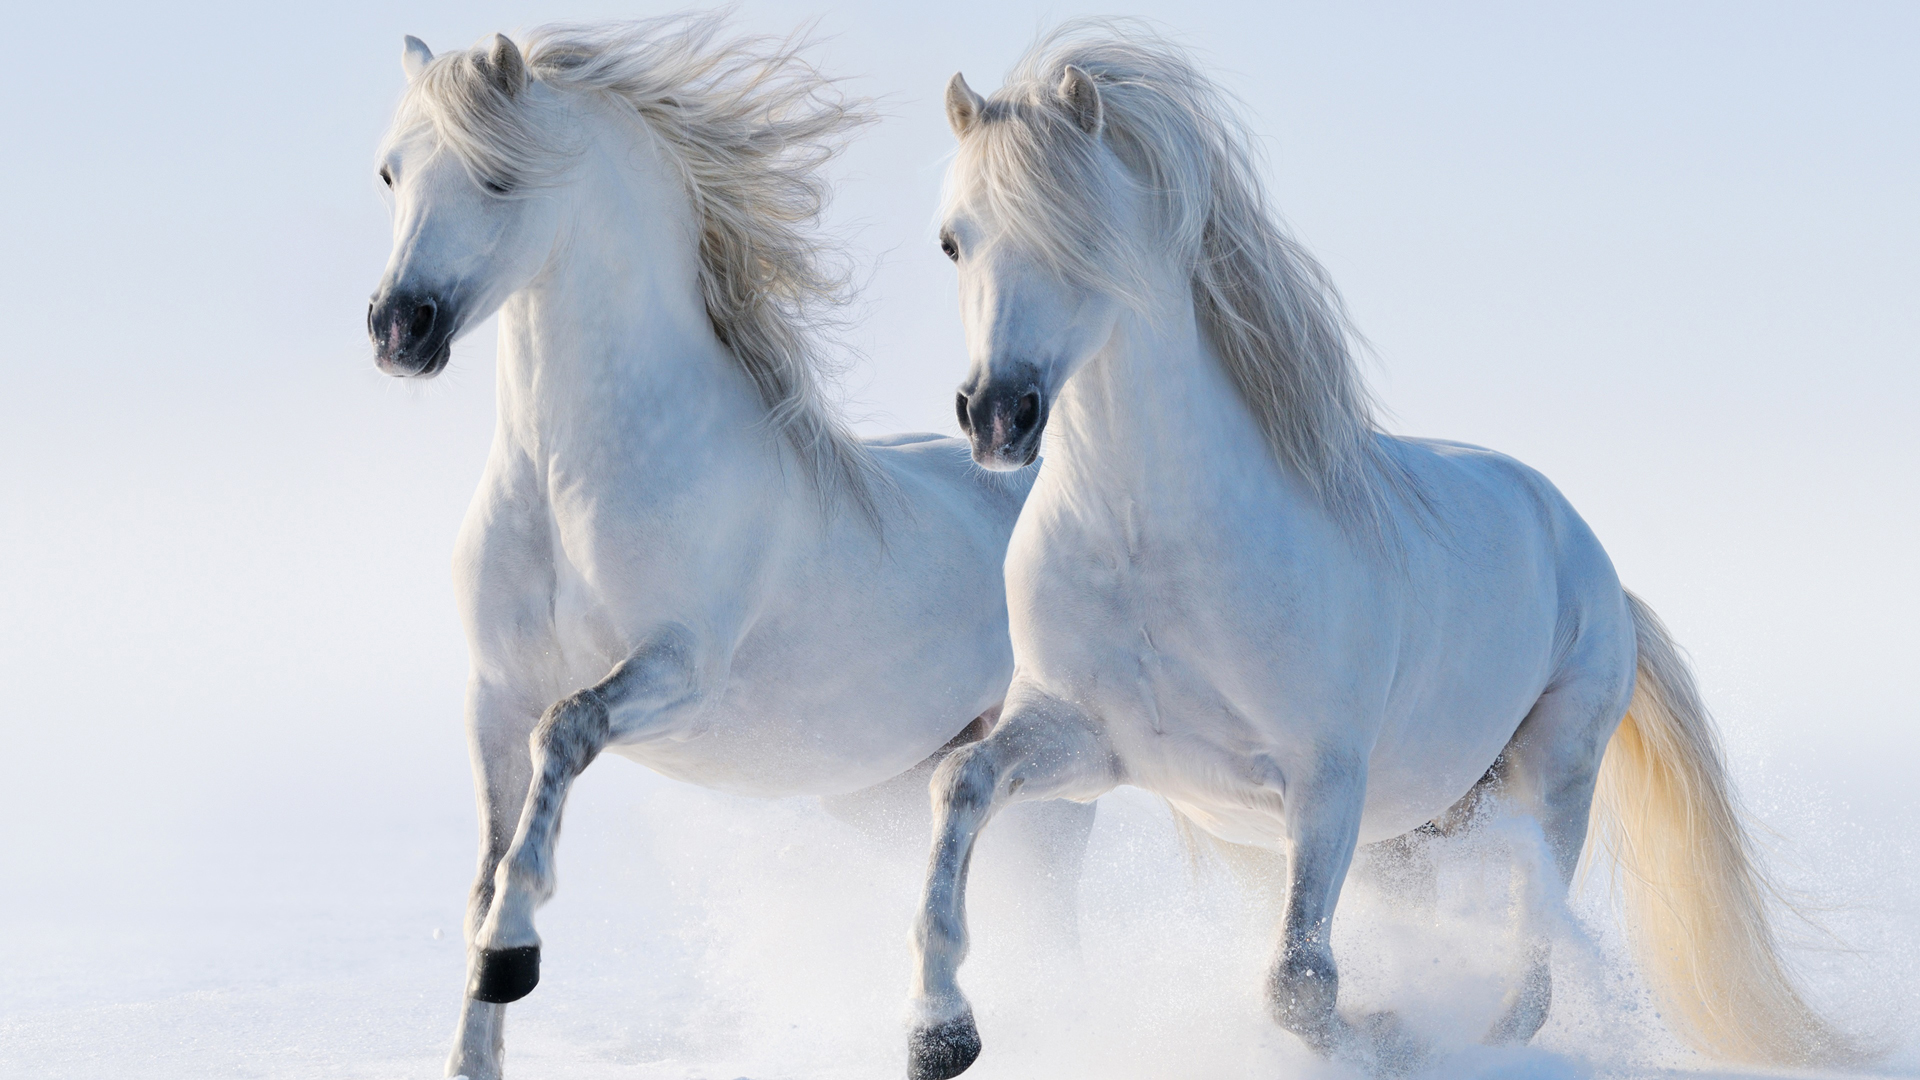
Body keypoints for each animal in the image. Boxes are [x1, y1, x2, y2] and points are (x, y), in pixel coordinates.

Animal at [364, 19, 1093, 1080]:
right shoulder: (492, 693)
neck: (568, 478)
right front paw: (474, 1043)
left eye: (498, 177)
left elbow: (564, 736)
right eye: (391, 173)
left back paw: (952, 1030)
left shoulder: (678, 671)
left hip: (1054, 785)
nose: (398, 329)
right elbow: (486, 868)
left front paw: (513, 955)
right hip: (885, 792)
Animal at [904, 21, 1859, 1079]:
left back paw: (1468, 1037)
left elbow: (1301, 983)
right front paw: (939, 1032)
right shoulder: (1087, 741)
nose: (998, 415)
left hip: (1546, 783)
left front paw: (1391, 1033)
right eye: (952, 240)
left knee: (1528, 982)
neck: (1151, 545)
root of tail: (1593, 561)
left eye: (1080, 236)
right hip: (1415, 833)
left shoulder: (1325, 780)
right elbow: (960, 782)